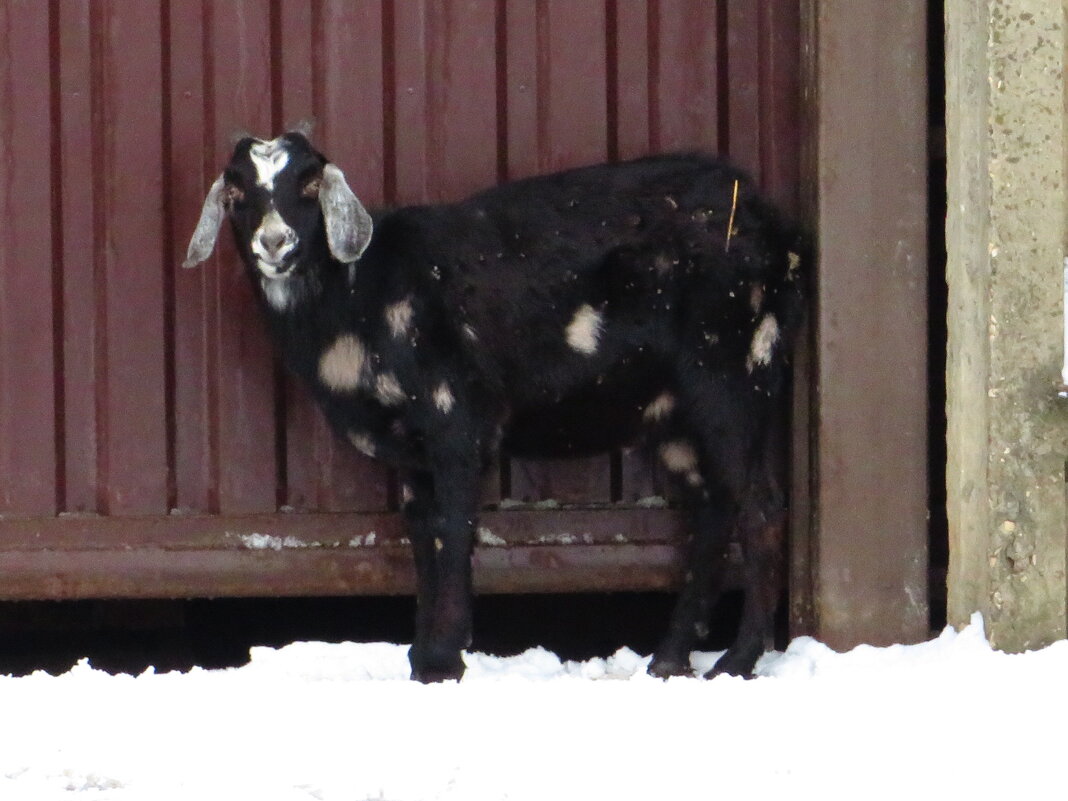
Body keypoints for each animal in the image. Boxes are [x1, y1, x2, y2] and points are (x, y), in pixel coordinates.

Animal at [183, 131, 803, 683]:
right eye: (236, 190)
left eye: (310, 184)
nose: (275, 243)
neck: (362, 296)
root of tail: (775, 226)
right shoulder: (414, 454)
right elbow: (425, 536)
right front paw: (423, 659)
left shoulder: (457, 419)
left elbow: (455, 529)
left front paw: (443, 661)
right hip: (676, 413)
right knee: (714, 508)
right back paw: (670, 660)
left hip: (731, 374)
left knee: (760, 508)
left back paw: (738, 660)